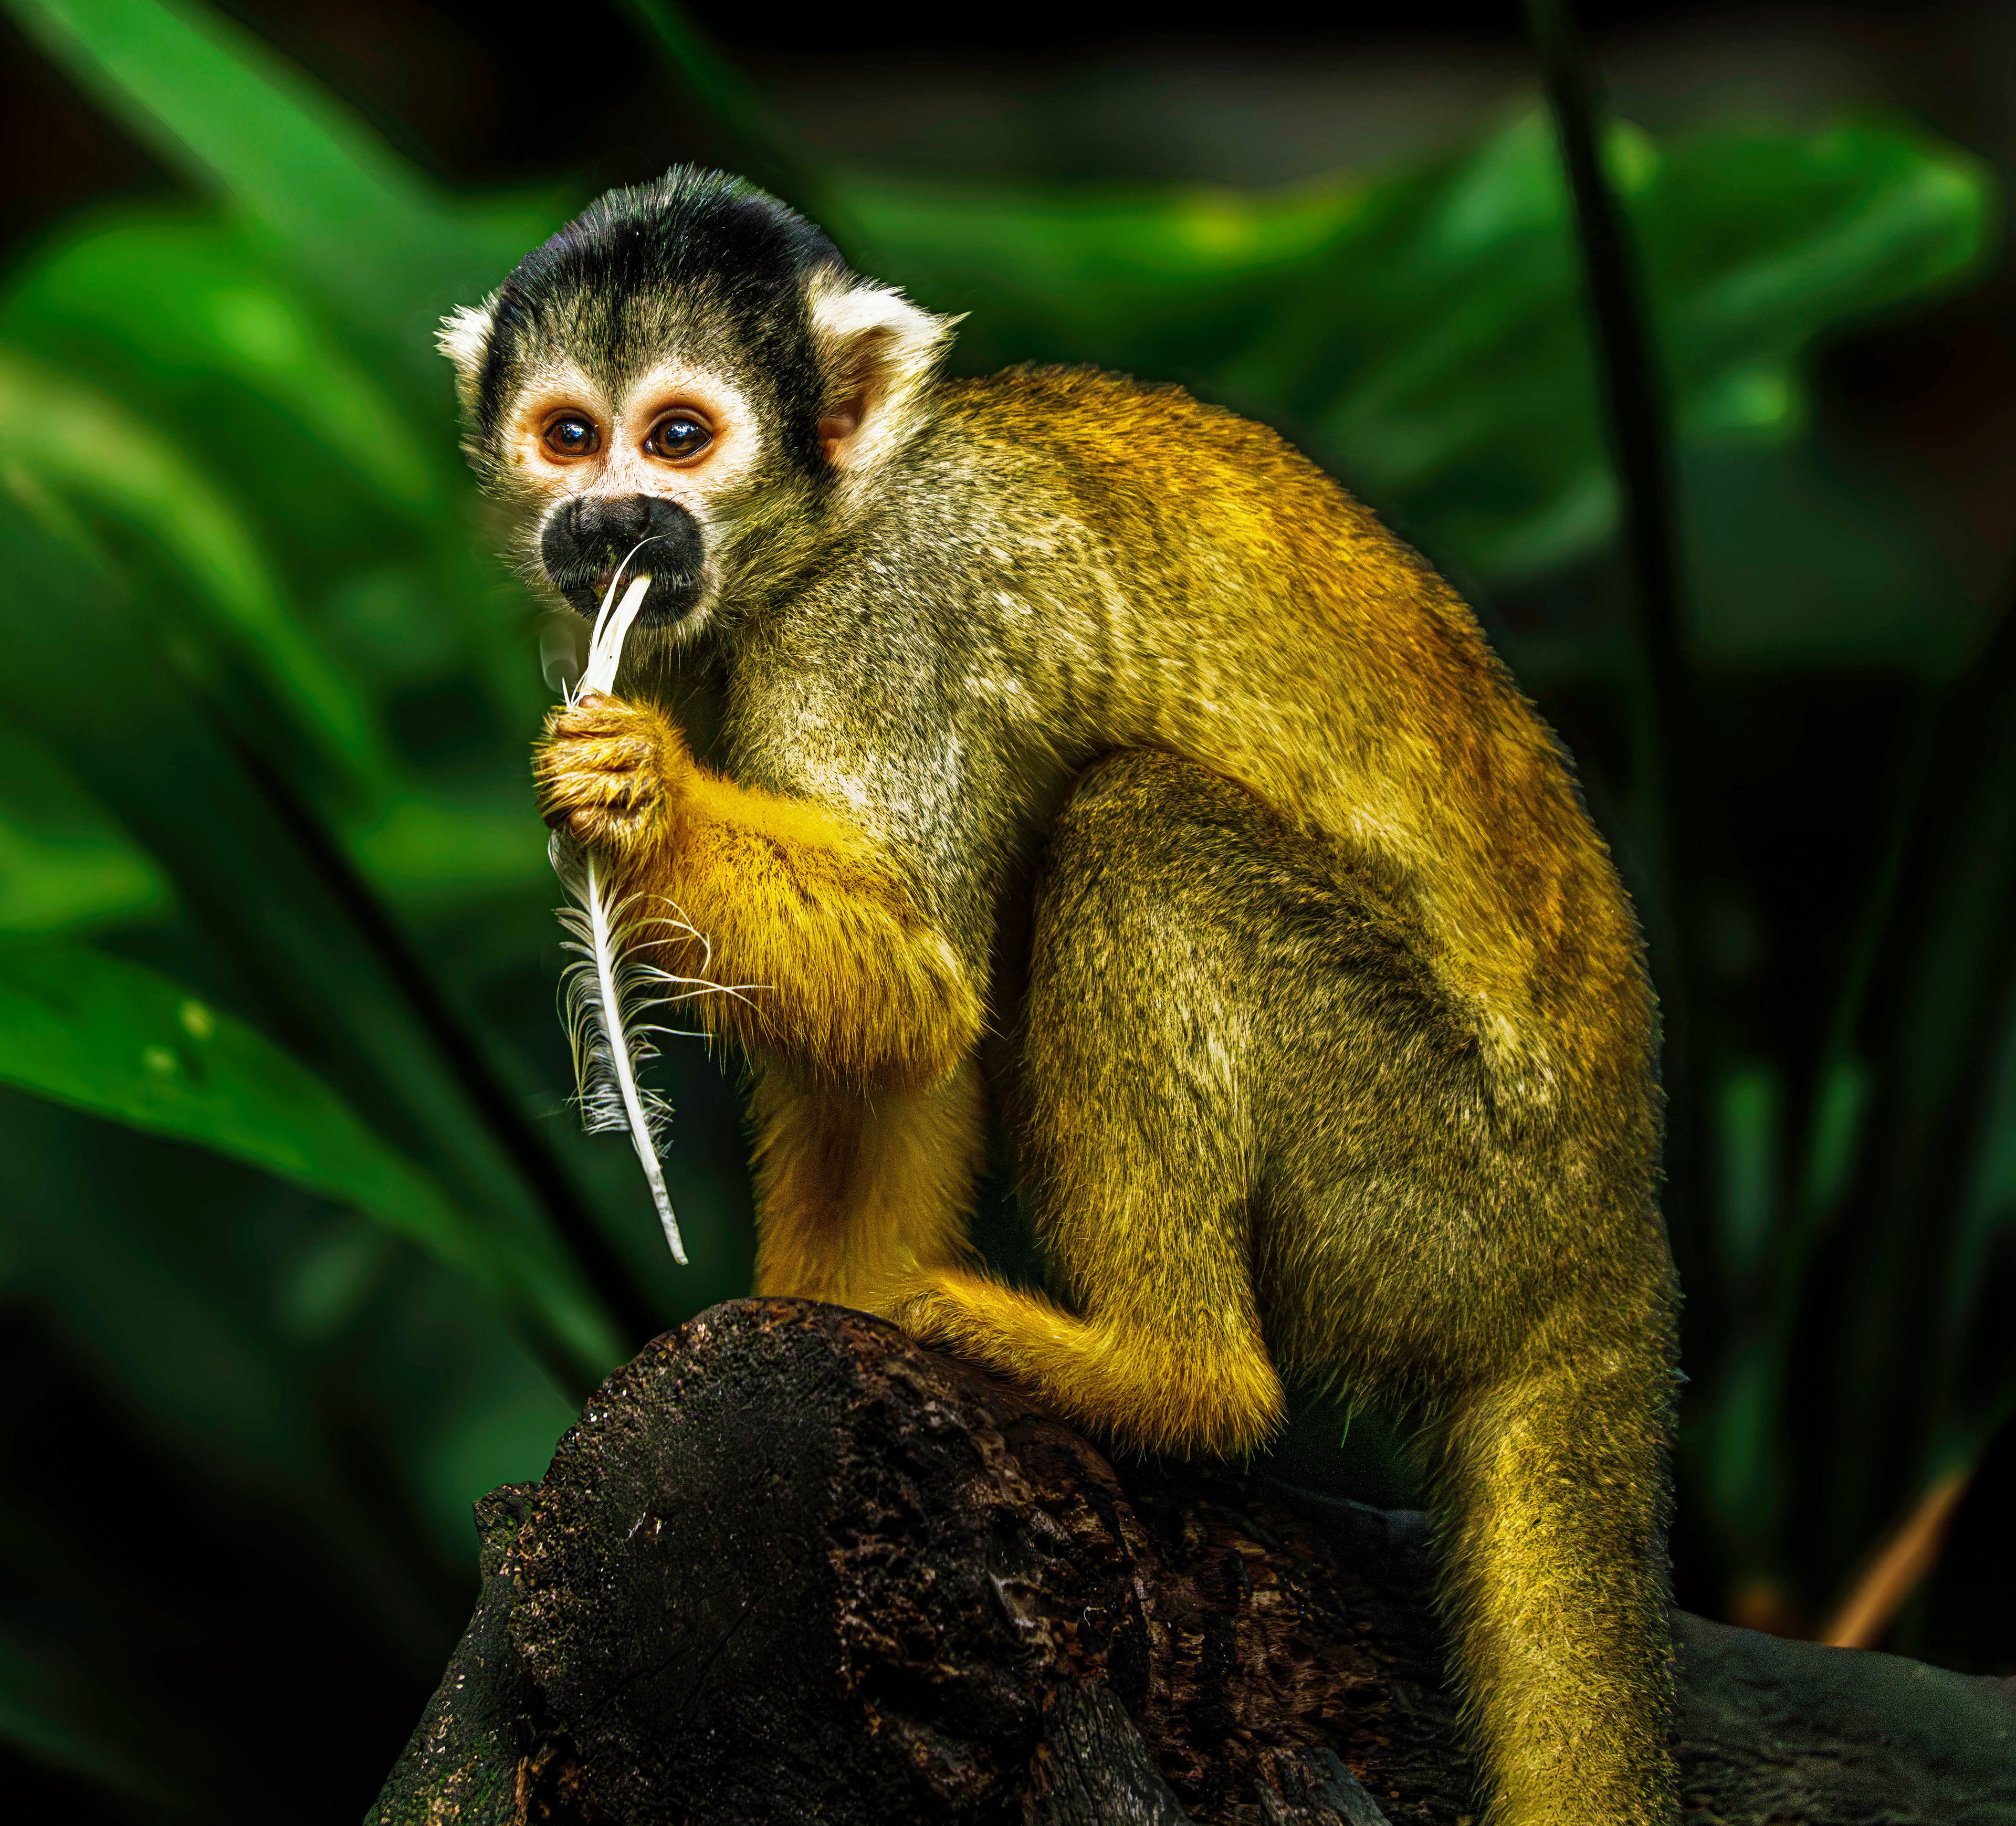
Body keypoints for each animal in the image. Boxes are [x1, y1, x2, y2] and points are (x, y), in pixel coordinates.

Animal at [441, 168, 1679, 1824]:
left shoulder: (889, 622)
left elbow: (918, 978)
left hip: (1434, 1189)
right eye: (571, 433)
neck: (820, 538)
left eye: (681, 436)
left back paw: (1170, 1373)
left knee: (1132, 831)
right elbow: (898, 1046)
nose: (611, 519)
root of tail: (1608, 1241)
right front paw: (817, 1310)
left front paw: (635, 797)